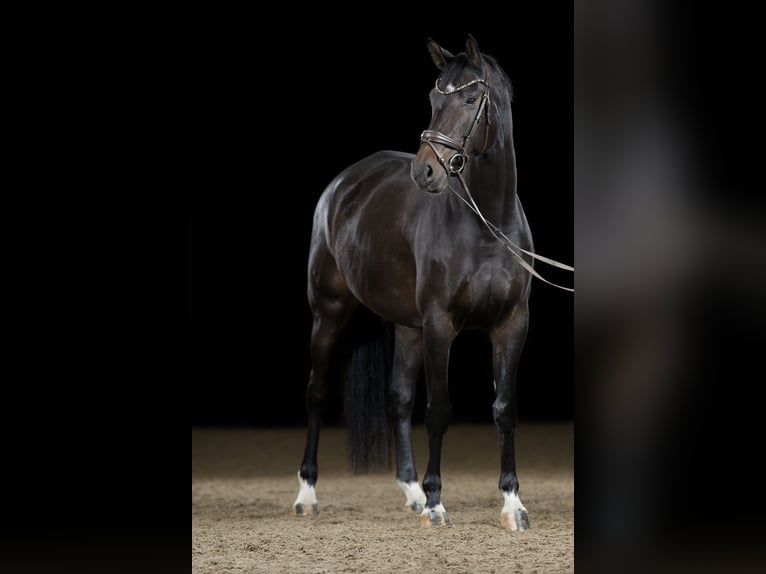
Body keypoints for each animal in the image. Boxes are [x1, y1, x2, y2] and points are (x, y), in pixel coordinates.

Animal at [292, 35, 569, 530]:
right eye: (433, 98)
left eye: (470, 99)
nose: (424, 171)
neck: (487, 226)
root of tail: (343, 184)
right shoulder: (441, 324)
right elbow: (438, 410)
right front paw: (439, 503)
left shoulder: (511, 325)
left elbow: (504, 408)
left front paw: (512, 504)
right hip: (329, 313)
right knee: (317, 393)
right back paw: (308, 493)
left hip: (407, 327)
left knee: (398, 397)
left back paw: (412, 491)